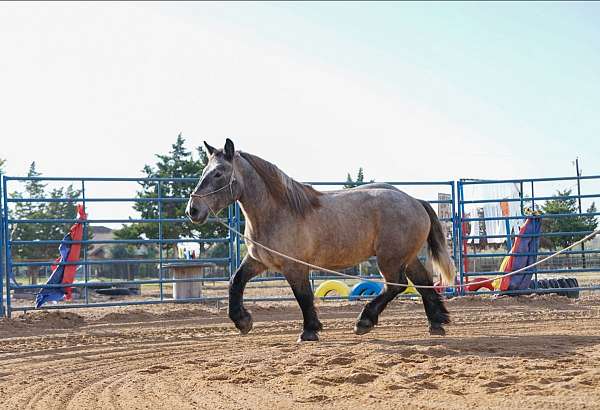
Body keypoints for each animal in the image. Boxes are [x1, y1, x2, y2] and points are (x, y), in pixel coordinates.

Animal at [188, 139, 454, 342]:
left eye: (218, 173)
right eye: (203, 173)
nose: (193, 210)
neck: (277, 211)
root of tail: (415, 200)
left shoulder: (294, 266)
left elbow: (303, 296)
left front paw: (309, 331)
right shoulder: (258, 261)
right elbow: (235, 282)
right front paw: (243, 321)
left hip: (390, 259)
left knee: (395, 285)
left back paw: (364, 321)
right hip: (407, 257)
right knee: (422, 282)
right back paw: (437, 323)